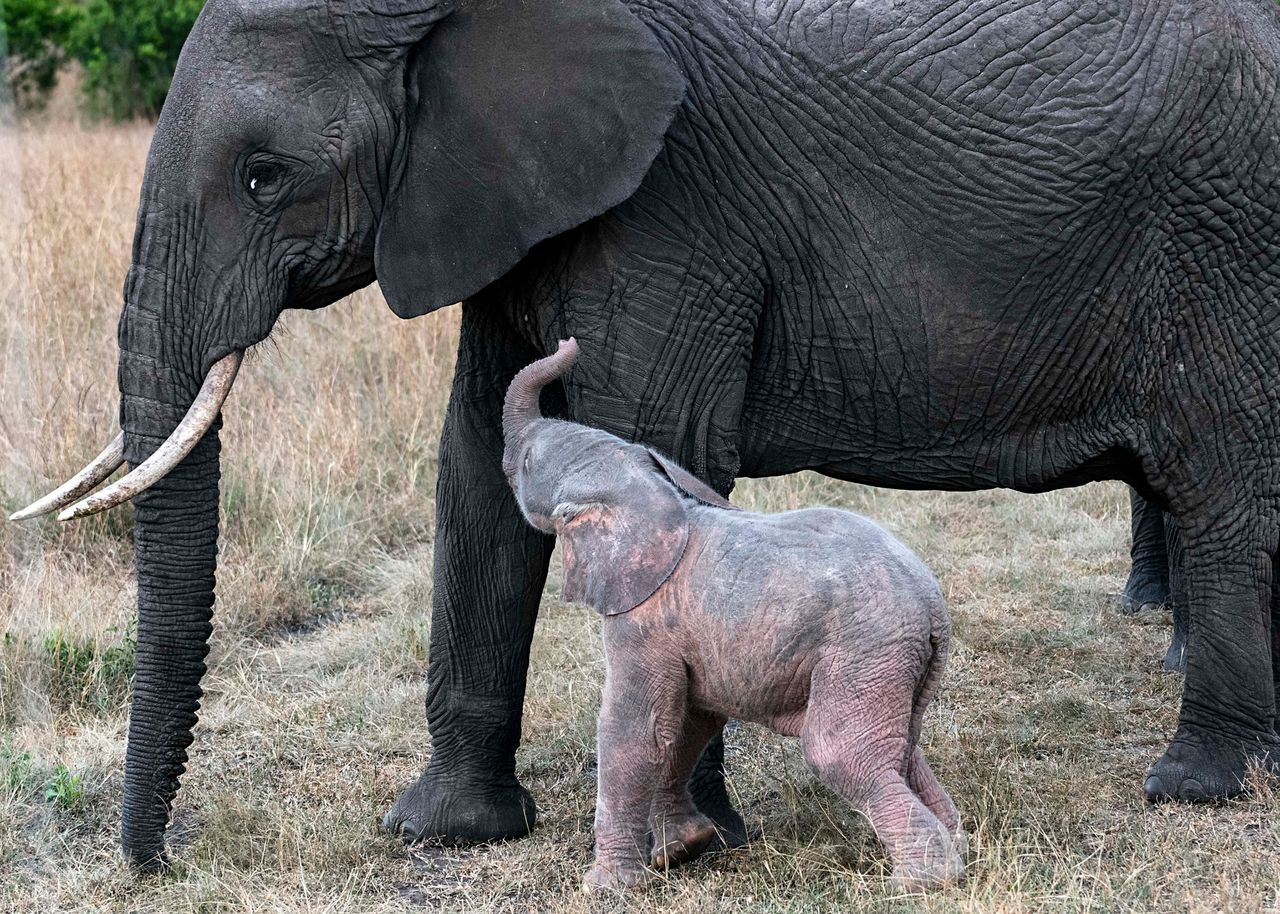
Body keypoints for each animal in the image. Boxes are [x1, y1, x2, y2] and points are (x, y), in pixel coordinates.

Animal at [504, 337, 962, 885]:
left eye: (527, 463)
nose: (566, 343)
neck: (649, 490)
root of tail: (933, 608)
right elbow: (689, 722)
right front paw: (682, 849)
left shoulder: (643, 622)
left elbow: (634, 732)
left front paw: (605, 888)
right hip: (893, 664)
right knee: (903, 753)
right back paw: (959, 851)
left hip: (865, 652)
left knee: (841, 754)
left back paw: (921, 882)